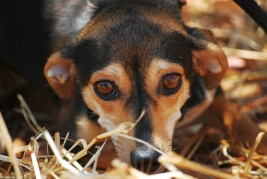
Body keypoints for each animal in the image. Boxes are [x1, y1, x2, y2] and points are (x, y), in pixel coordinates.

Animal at [43, 0, 266, 173]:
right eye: (104, 87)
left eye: (171, 80)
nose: (146, 160)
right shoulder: (74, 142)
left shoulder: (211, 99)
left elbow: (248, 127)